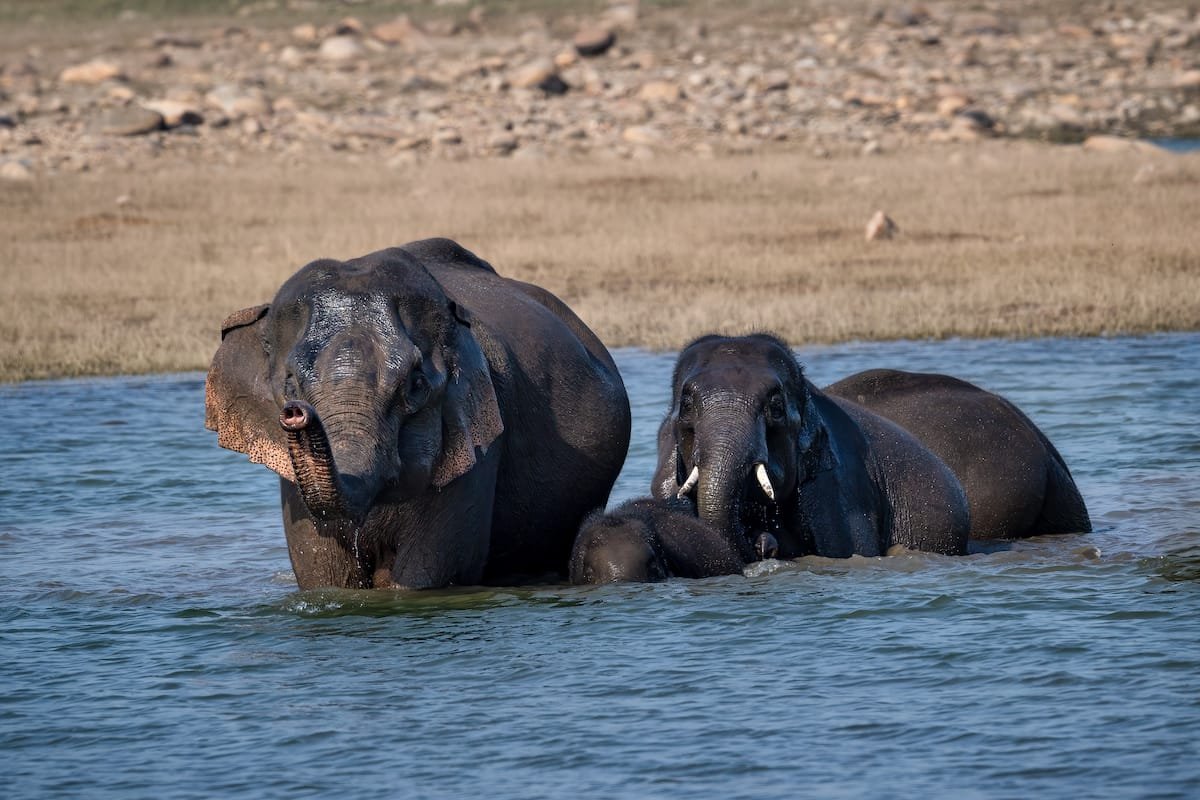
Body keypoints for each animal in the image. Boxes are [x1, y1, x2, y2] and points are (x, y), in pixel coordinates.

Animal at [205, 238, 631, 590]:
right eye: (290, 385)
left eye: (414, 384)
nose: (296, 414)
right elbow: (323, 577)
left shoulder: (478, 447)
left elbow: (428, 573)